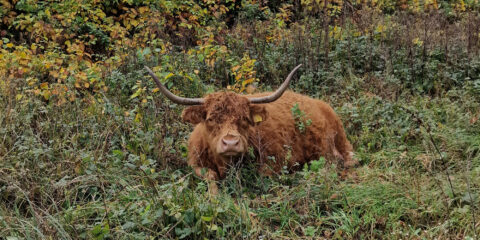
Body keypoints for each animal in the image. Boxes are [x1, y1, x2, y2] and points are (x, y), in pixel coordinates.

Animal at [146, 64, 356, 194]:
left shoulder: (275, 161)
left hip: (334, 143)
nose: (231, 143)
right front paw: (215, 197)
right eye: (211, 118)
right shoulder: (194, 163)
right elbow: (210, 175)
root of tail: (321, 104)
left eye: (244, 119)